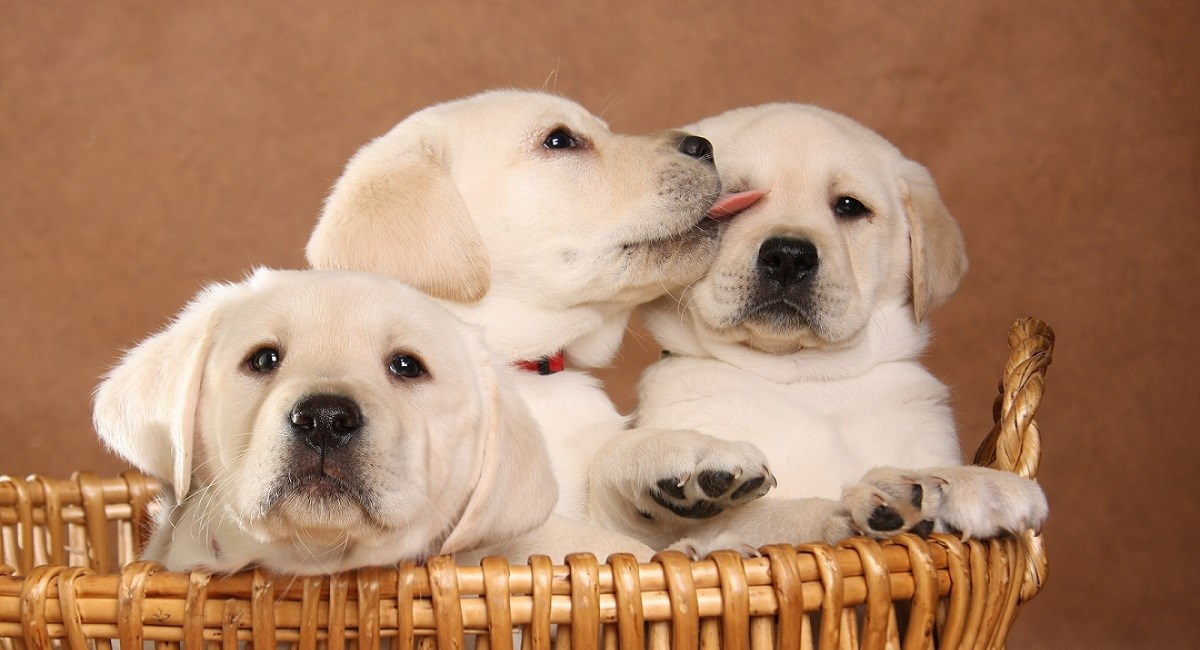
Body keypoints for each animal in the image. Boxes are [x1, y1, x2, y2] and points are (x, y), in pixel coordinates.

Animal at [302, 89, 768, 563]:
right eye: (559, 140)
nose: (704, 146)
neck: (522, 371)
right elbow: (605, 544)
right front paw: (697, 552)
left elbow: (608, 462)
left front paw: (690, 452)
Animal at [595, 105, 1046, 556]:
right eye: (732, 201)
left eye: (848, 206)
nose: (788, 257)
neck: (805, 376)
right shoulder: (697, 518)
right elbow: (788, 513)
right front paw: (870, 504)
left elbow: (935, 465)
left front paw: (976, 482)